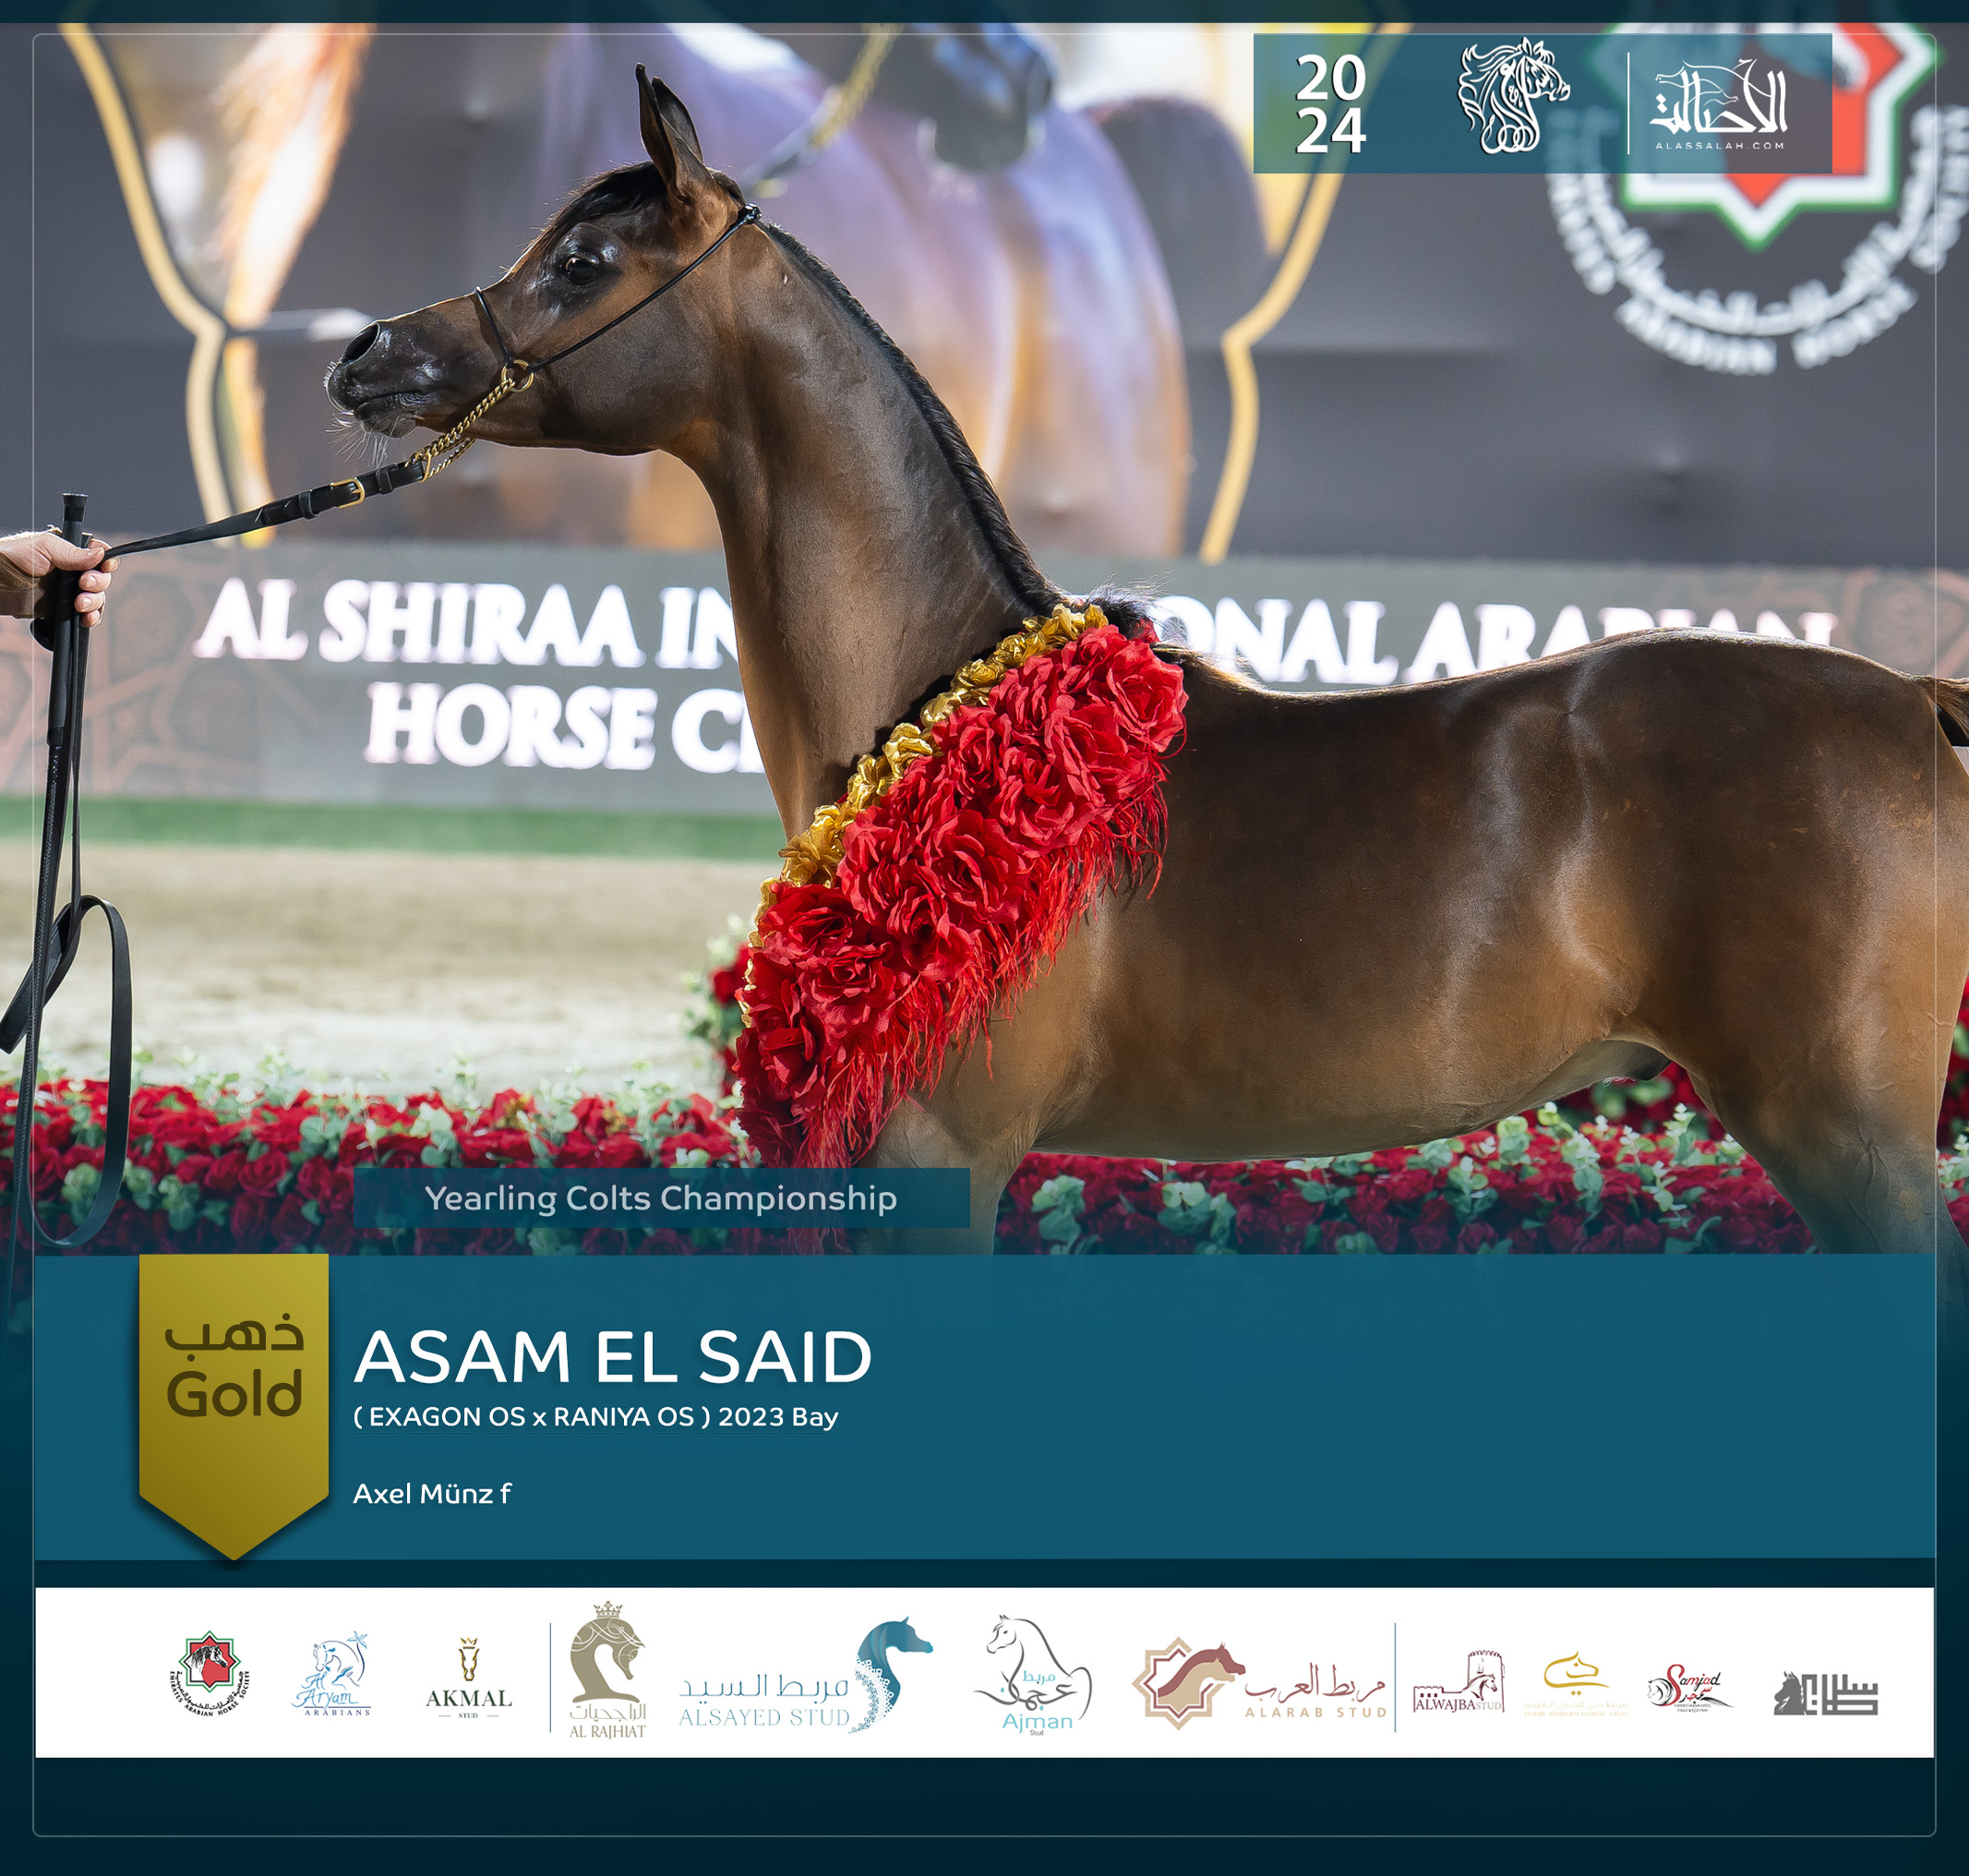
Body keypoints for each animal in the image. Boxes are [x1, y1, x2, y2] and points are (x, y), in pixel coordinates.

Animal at [326, 69, 1969, 1265]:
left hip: (1845, 1139)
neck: (936, 707)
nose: (366, 356)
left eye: (581, 262)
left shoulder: (941, 1164)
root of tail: (1909, 701)